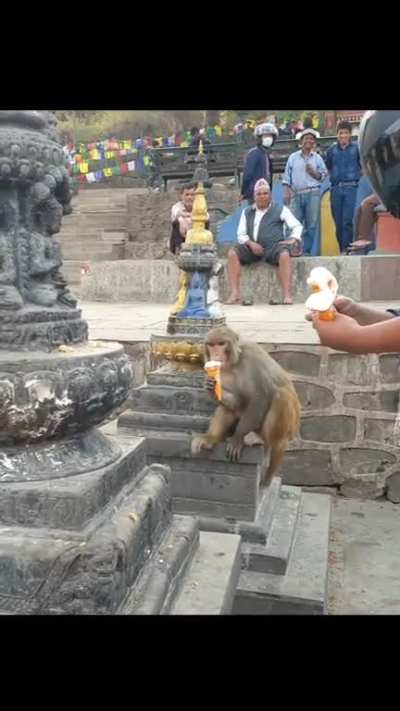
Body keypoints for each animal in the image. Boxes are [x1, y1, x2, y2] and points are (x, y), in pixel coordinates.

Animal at [191, 326, 301, 485]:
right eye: (211, 345)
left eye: (221, 344)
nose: (215, 353)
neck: (235, 363)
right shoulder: (222, 372)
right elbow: (236, 401)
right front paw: (210, 387)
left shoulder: (252, 357)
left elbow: (260, 396)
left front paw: (237, 438)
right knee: (230, 408)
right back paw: (210, 439)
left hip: (287, 428)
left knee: (280, 396)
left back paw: (261, 439)